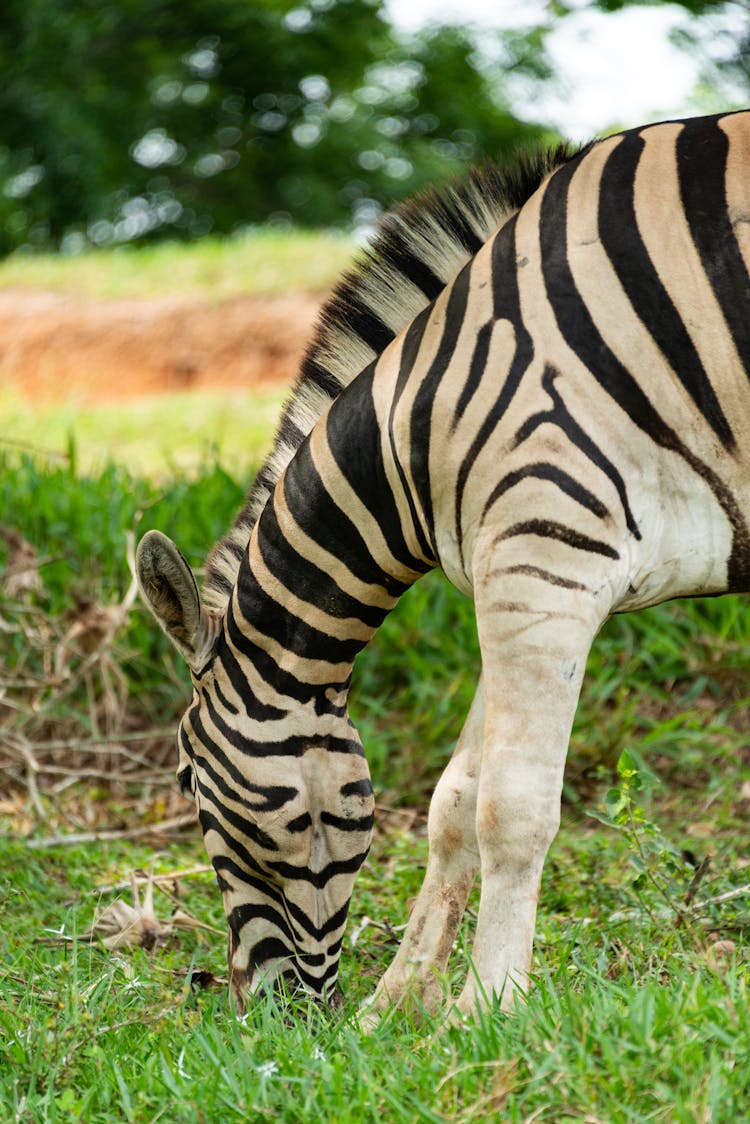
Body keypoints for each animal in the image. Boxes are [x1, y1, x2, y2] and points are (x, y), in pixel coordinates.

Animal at [136, 111, 750, 1020]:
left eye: (187, 782)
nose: (265, 1015)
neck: (417, 429)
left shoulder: (545, 560)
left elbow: (513, 809)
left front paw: (488, 1008)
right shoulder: (517, 570)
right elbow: (455, 801)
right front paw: (396, 1004)